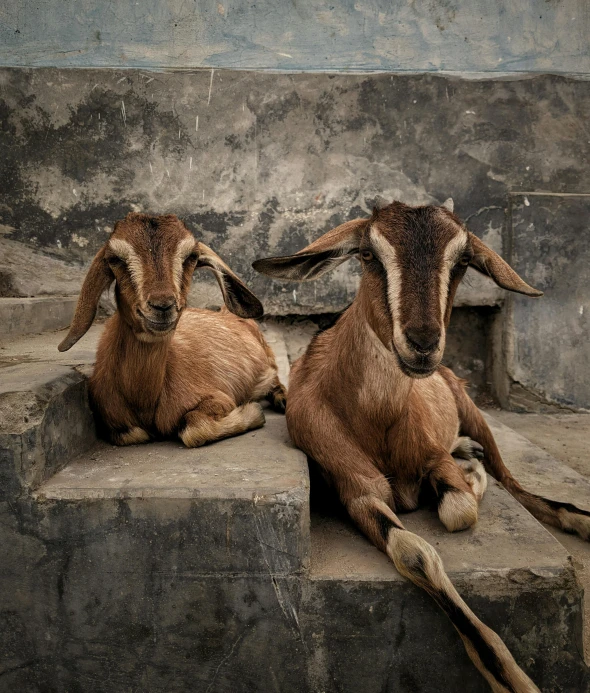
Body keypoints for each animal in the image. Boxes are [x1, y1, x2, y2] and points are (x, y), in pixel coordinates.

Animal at [58, 214, 286, 446]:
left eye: (191, 256)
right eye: (115, 259)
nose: (162, 305)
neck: (144, 400)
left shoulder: (219, 398)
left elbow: (193, 428)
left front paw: (255, 412)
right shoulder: (117, 426)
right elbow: (135, 433)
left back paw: (282, 400)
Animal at [254, 199, 590, 692]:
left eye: (464, 261)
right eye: (368, 254)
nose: (423, 343)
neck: (373, 419)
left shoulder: (433, 459)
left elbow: (460, 510)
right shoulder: (356, 489)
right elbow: (415, 553)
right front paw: (509, 674)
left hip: (473, 410)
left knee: (516, 483)